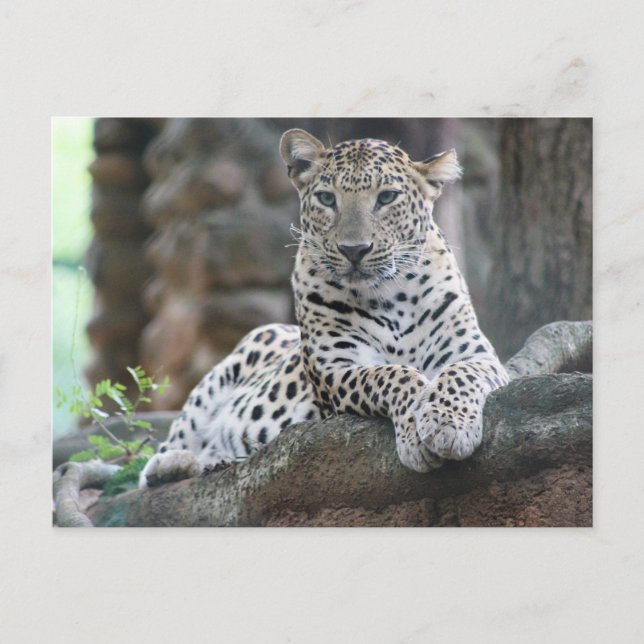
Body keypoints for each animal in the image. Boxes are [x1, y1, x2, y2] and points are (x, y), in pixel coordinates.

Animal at [140, 128, 508, 488]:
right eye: (327, 199)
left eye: (387, 197)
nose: (354, 250)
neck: (393, 294)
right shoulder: (337, 369)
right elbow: (394, 375)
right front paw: (417, 434)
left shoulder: (476, 355)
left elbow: (459, 374)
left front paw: (448, 424)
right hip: (221, 374)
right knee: (159, 459)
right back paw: (172, 464)